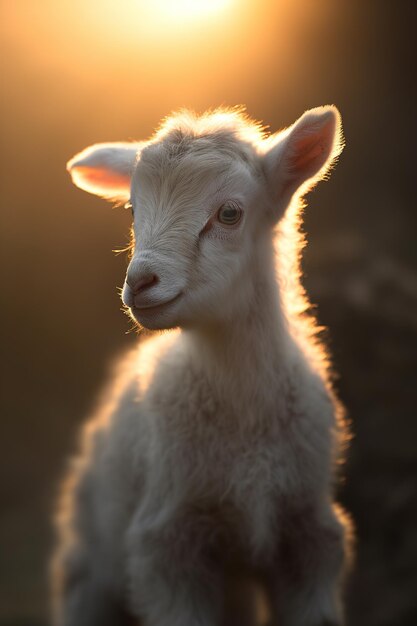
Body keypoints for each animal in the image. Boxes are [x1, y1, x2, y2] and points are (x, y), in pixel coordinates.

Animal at [52, 106, 352, 624]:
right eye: (132, 210)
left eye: (229, 213)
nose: (140, 283)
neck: (246, 423)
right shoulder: (167, 544)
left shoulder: (309, 535)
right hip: (90, 571)